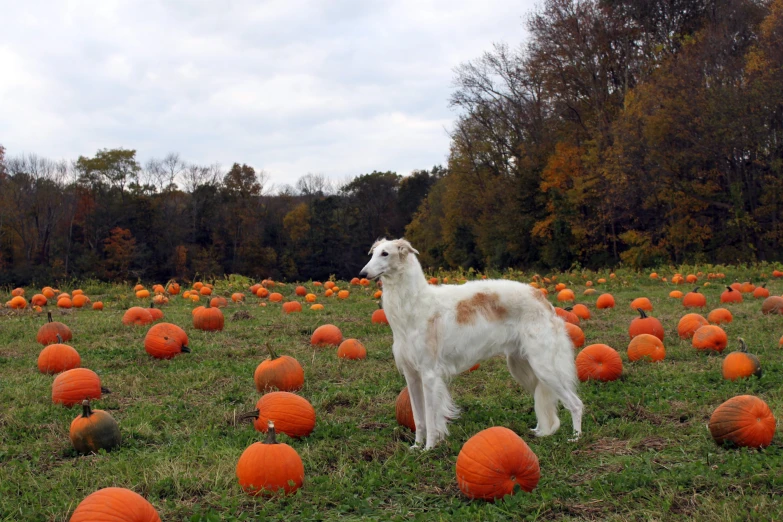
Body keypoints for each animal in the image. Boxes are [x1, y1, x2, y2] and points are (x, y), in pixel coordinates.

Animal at [362, 238, 580, 444]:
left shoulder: (429, 373)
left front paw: (429, 448)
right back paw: (540, 431)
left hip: (544, 366)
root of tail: (542, 299)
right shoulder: (411, 374)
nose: (362, 273)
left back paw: (576, 437)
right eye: (372, 253)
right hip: (523, 366)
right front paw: (416, 447)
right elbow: (418, 417)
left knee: (575, 403)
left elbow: (431, 419)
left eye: (385, 253)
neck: (414, 304)